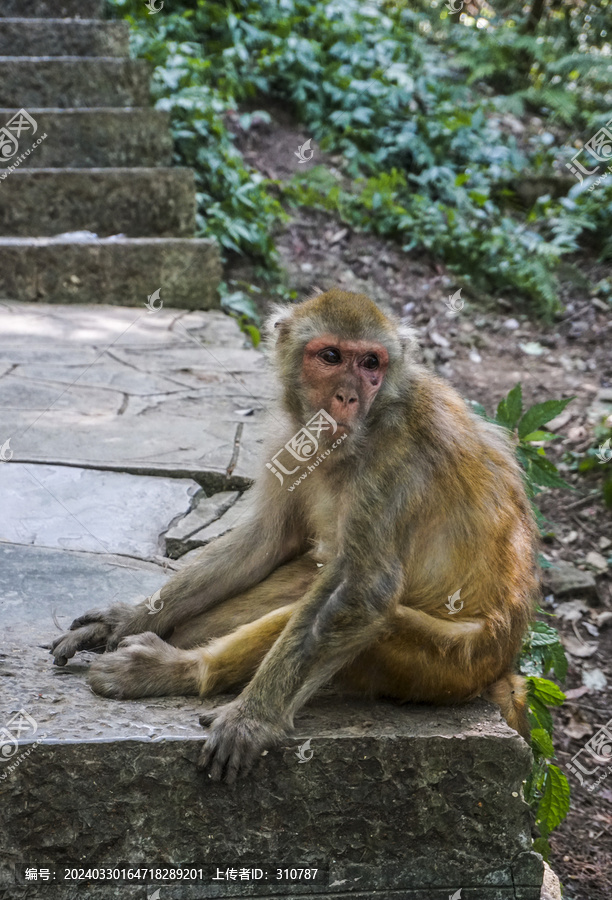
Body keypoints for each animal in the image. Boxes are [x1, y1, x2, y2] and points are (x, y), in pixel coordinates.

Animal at [52, 288, 540, 780]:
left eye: (371, 363)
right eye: (330, 356)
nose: (348, 396)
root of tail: (504, 665)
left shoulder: (396, 459)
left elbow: (363, 590)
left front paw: (252, 719)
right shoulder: (291, 437)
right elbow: (266, 540)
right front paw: (124, 619)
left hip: (452, 666)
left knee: (371, 618)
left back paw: (177, 671)